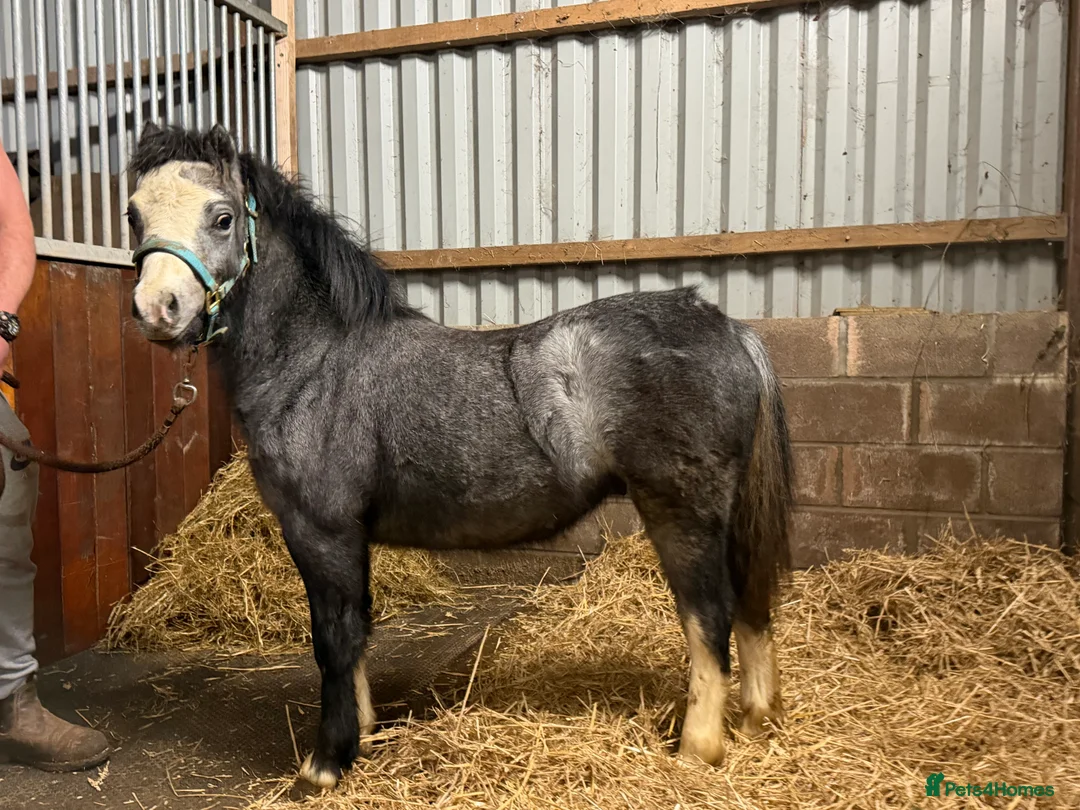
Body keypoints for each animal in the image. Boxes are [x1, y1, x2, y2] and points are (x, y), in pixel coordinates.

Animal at [124, 122, 795, 790]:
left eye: (222, 218)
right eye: (134, 216)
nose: (158, 309)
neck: (317, 361)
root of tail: (732, 330)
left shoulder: (321, 530)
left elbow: (334, 638)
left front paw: (327, 764)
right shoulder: (347, 537)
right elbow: (358, 629)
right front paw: (364, 736)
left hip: (682, 513)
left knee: (709, 618)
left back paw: (697, 750)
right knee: (751, 601)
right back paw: (756, 721)